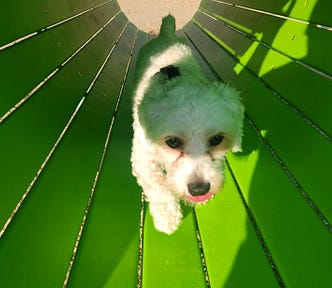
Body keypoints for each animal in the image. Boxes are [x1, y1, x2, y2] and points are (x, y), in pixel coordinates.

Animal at [132, 15, 244, 234]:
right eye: (172, 142)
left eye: (217, 139)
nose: (199, 189)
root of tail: (165, 35)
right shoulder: (142, 157)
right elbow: (157, 185)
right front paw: (167, 218)